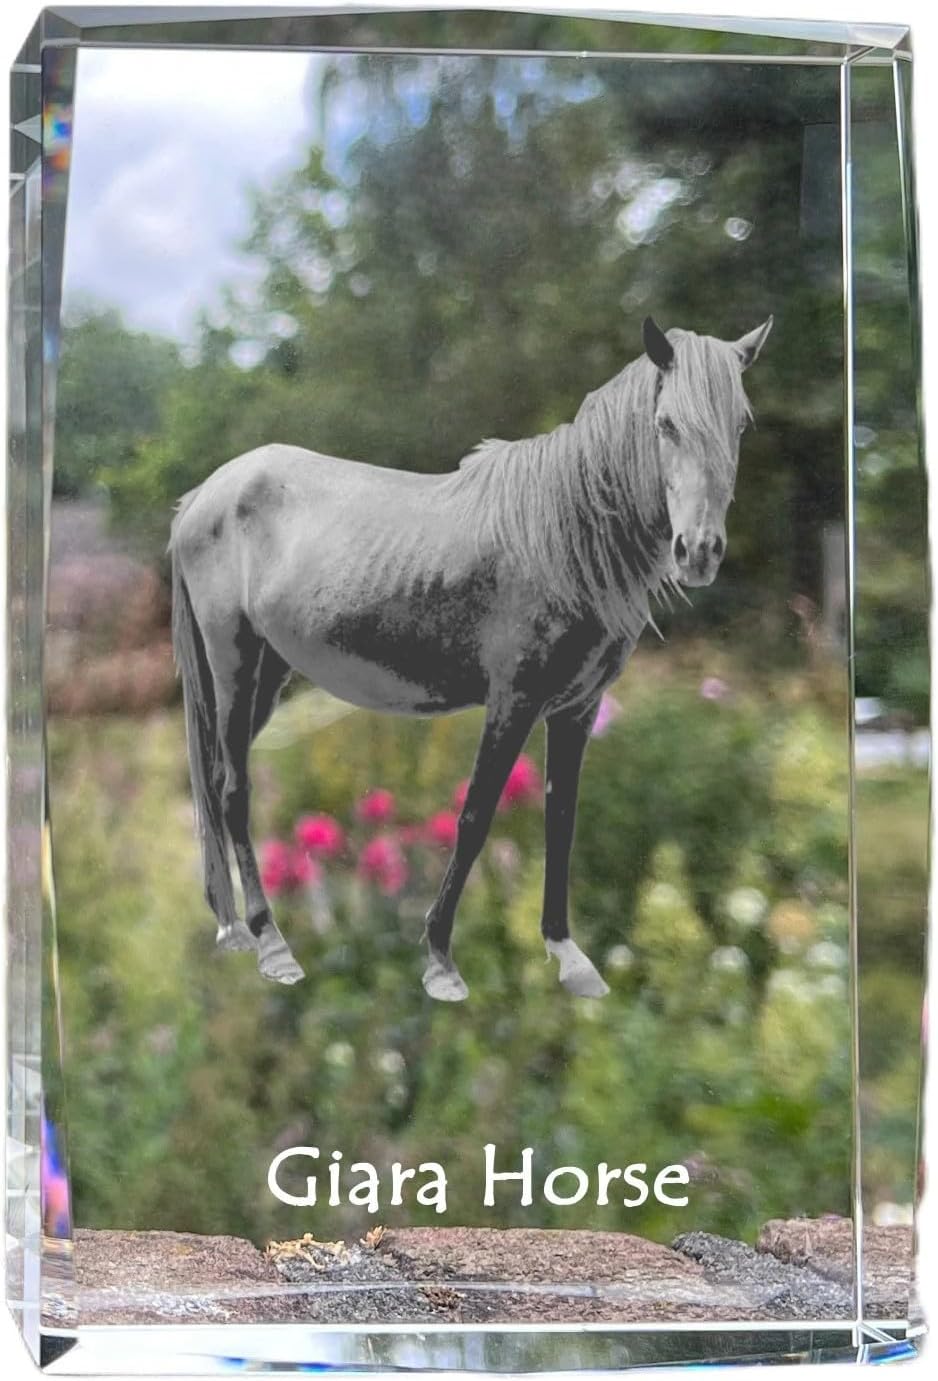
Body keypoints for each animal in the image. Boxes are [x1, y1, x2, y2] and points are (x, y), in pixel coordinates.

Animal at [169, 313, 772, 1001]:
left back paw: (233, 929)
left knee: (218, 782)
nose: (698, 551)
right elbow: (476, 815)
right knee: (232, 790)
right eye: (666, 423)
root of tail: (203, 496)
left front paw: (567, 955)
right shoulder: (512, 702)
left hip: (266, 678)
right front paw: (440, 961)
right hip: (234, 665)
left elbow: (560, 817)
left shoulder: (577, 709)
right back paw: (272, 945)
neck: (562, 536)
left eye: (741, 424)